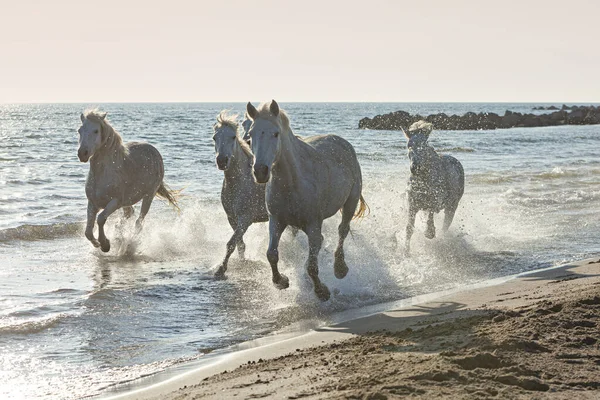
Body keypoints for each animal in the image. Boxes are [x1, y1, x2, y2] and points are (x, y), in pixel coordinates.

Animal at [76, 108, 178, 253]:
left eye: (96, 131)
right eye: (80, 130)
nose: (82, 153)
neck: (102, 174)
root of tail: (154, 150)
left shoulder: (115, 202)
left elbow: (101, 219)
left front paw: (105, 244)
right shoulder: (92, 203)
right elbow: (88, 232)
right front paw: (98, 244)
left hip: (148, 196)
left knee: (139, 222)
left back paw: (130, 244)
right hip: (128, 201)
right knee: (129, 214)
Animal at [211, 109, 268, 278]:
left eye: (232, 137)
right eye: (215, 137)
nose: (222, 161)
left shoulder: (245, 219)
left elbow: (231, 243)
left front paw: (221, 269)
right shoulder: (232, 218)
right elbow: (239, 244)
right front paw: (242, 263)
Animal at [246, 100, 368, 300]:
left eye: (275, 133)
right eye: (250, 136)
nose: (260, 171)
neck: (293, 182)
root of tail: (343, 142)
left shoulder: (313, 224)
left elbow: (312, 266)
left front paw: (322, 292)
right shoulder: (276, 220)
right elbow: (271, 254)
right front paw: (281, 281)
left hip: (351, 200)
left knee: (342, 230)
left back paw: (340, 268)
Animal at [404, 120, 464, 255]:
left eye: (424, 145)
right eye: (409, 145)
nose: (415, 167)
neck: (423, 180)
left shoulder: (435, 201)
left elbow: (431, 213)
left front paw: (429, 232)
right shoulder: (412, 204)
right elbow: (409, 228)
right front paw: (406, 252)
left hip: (452, 207)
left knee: (446, 225)